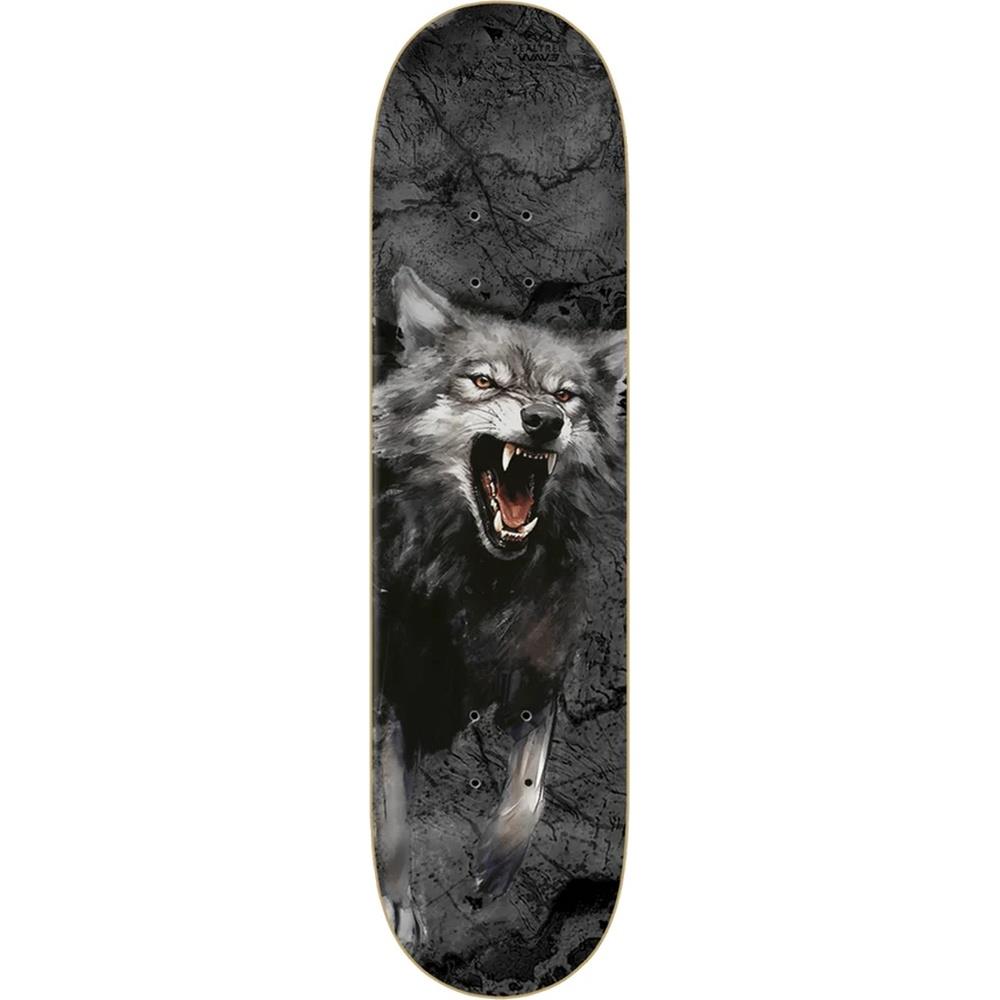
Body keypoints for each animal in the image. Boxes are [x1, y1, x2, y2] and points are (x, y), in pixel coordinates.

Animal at [373, 266, 625, 947]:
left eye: (565, 395)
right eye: (483, 380)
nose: (542, 419)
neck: (484, 585)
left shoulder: (540, 679)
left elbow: (530, 791)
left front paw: (493, 867)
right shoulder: (397, 697)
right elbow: (393, 817)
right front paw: (400, 911)